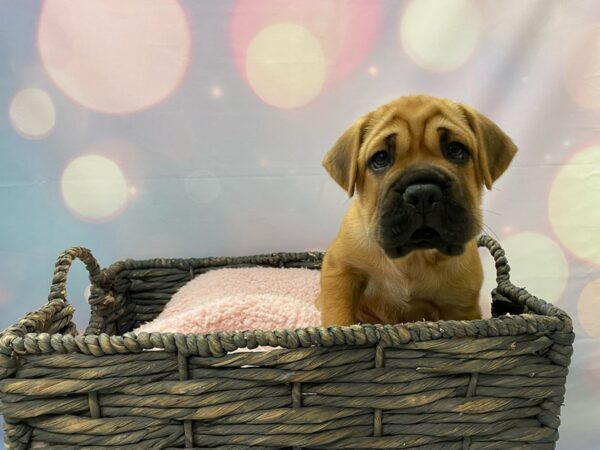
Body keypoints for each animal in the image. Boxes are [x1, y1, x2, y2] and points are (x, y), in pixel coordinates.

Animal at [316, 96, 516, 326]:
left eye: (456, 149)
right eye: (380, 158)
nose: (422, 193)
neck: (415, 257)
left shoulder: (460, 304)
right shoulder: (340, 271)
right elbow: (339, 316)